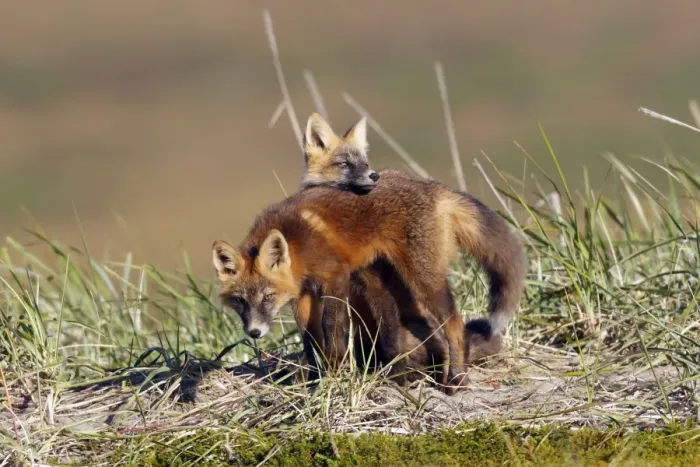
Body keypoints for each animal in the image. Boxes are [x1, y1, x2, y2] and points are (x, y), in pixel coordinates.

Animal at [211, 114, 527, 392]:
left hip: (423, 279)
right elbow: (310, 339)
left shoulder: (336, 277)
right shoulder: (304, 293)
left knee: (455, 326)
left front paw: (334, 373)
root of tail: (432, 187)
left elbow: (332, 330)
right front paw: (316, 379)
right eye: (240, 301)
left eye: (268, 297)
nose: (255, 332)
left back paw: (454, 379)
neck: (297, 242)